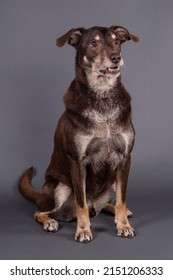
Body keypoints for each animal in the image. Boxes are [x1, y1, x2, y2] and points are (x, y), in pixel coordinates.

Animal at [18, 25, 139, 242]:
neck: (103, 97)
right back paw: (50, 221)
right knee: (41, 210)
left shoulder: (125, 159)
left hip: (112, 182)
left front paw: (124, 224)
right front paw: (83, 230)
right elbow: (81, 202)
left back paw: (119, 212)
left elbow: (122, 199)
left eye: (117, 41)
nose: (116, 57)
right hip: (60, 187)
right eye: (93, 43)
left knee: (109, 203)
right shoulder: (78, 161)